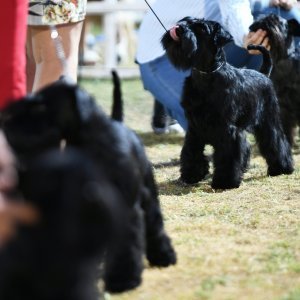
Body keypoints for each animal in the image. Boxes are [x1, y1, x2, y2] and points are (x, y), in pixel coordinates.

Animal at [0, 74, 177, 294]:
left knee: (154, 224)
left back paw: (164, 256)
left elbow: (126, 245)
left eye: (40, 107)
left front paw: (123, 280)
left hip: (148, 195)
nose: (6, 123)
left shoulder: (125, 208)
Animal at [162, 17, 292, 190]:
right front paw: (191, 175)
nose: (178, 28)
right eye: (185, 21)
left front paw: (225, 181)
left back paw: (282, 168)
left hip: (268, 122)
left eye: (201, 28)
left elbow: (227, 155)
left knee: (277, 142)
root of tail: (263, 74)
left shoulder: (227, 129)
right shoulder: (194, 128)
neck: (206, 76)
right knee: (247, 147)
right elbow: (191, 151)